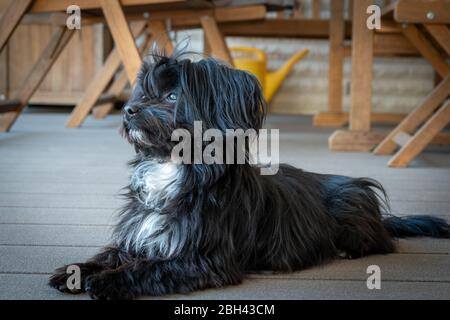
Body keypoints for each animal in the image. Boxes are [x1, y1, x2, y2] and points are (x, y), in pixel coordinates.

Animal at [49, 51, 450, 298]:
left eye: (172, 96)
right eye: (144, 92)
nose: (128, 110)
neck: (174, 167)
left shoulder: (201, 259)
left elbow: (147, 268)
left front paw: (108, 282)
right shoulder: (139, 235)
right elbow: (111, 254)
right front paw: (76, 271)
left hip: (352, 204)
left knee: (381, 243)